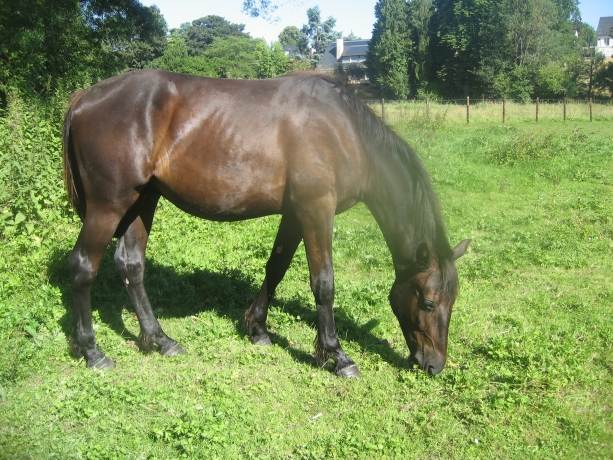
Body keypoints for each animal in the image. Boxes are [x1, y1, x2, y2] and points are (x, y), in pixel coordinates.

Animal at [63, 70, 468, 376]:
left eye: (452, 299)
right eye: (428, 302)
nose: (434, 365)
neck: (346, 132)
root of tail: (85, 96)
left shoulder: (295, 214)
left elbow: (276, 267)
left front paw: (257, 328)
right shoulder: (316, 209)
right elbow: (324, 284)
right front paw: (336, 355)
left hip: (143, 199)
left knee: (131, 265)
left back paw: (160, 340)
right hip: (109, 205)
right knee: (82, 266)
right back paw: (93, 352)